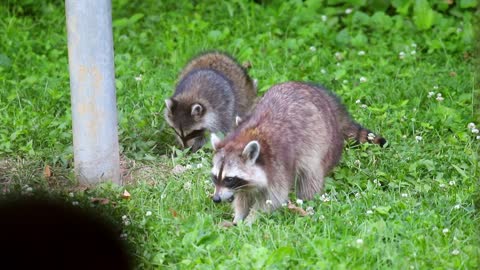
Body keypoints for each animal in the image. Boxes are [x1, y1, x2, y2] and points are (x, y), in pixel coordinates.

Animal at [210, 81, 386, 224]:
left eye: (229, 179)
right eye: (214, 177)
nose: (216, 199)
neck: (244, 137)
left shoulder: (277, 163)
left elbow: (273, 198)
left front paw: (251, 220)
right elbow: (243, 196)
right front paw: (238, 217)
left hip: (324, 142)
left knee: (310, 175)